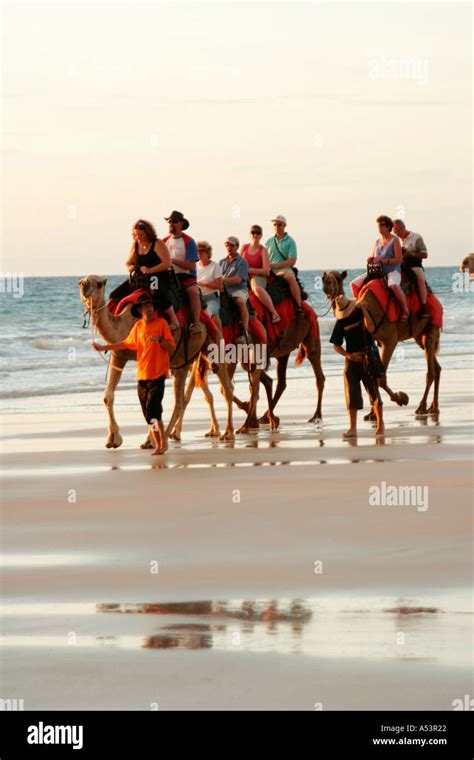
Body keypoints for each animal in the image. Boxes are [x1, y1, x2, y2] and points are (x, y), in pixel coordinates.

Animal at [78, 278, 236, 446]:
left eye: (99, 284)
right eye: (81, 282)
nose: (84, 287)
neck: (125, 324)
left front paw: (145, 440)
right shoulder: (119, 355)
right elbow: (108, 396)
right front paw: (113, 439)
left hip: (211, 343)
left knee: (223, 387)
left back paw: (227, 433)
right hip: (185, 360)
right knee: (183, 397)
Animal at [322, 270, 440, 416]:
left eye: (337, 278)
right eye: (324, 277)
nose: (326, 284)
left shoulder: (390, 340)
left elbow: (380, 379)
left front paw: (400, 398)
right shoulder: (373, 341)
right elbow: (374, 376)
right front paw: (372, 413)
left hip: (431, 328)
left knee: (431, 371)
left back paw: (422, 407)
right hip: (419, 335)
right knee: (437, 368)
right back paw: (433, 407)